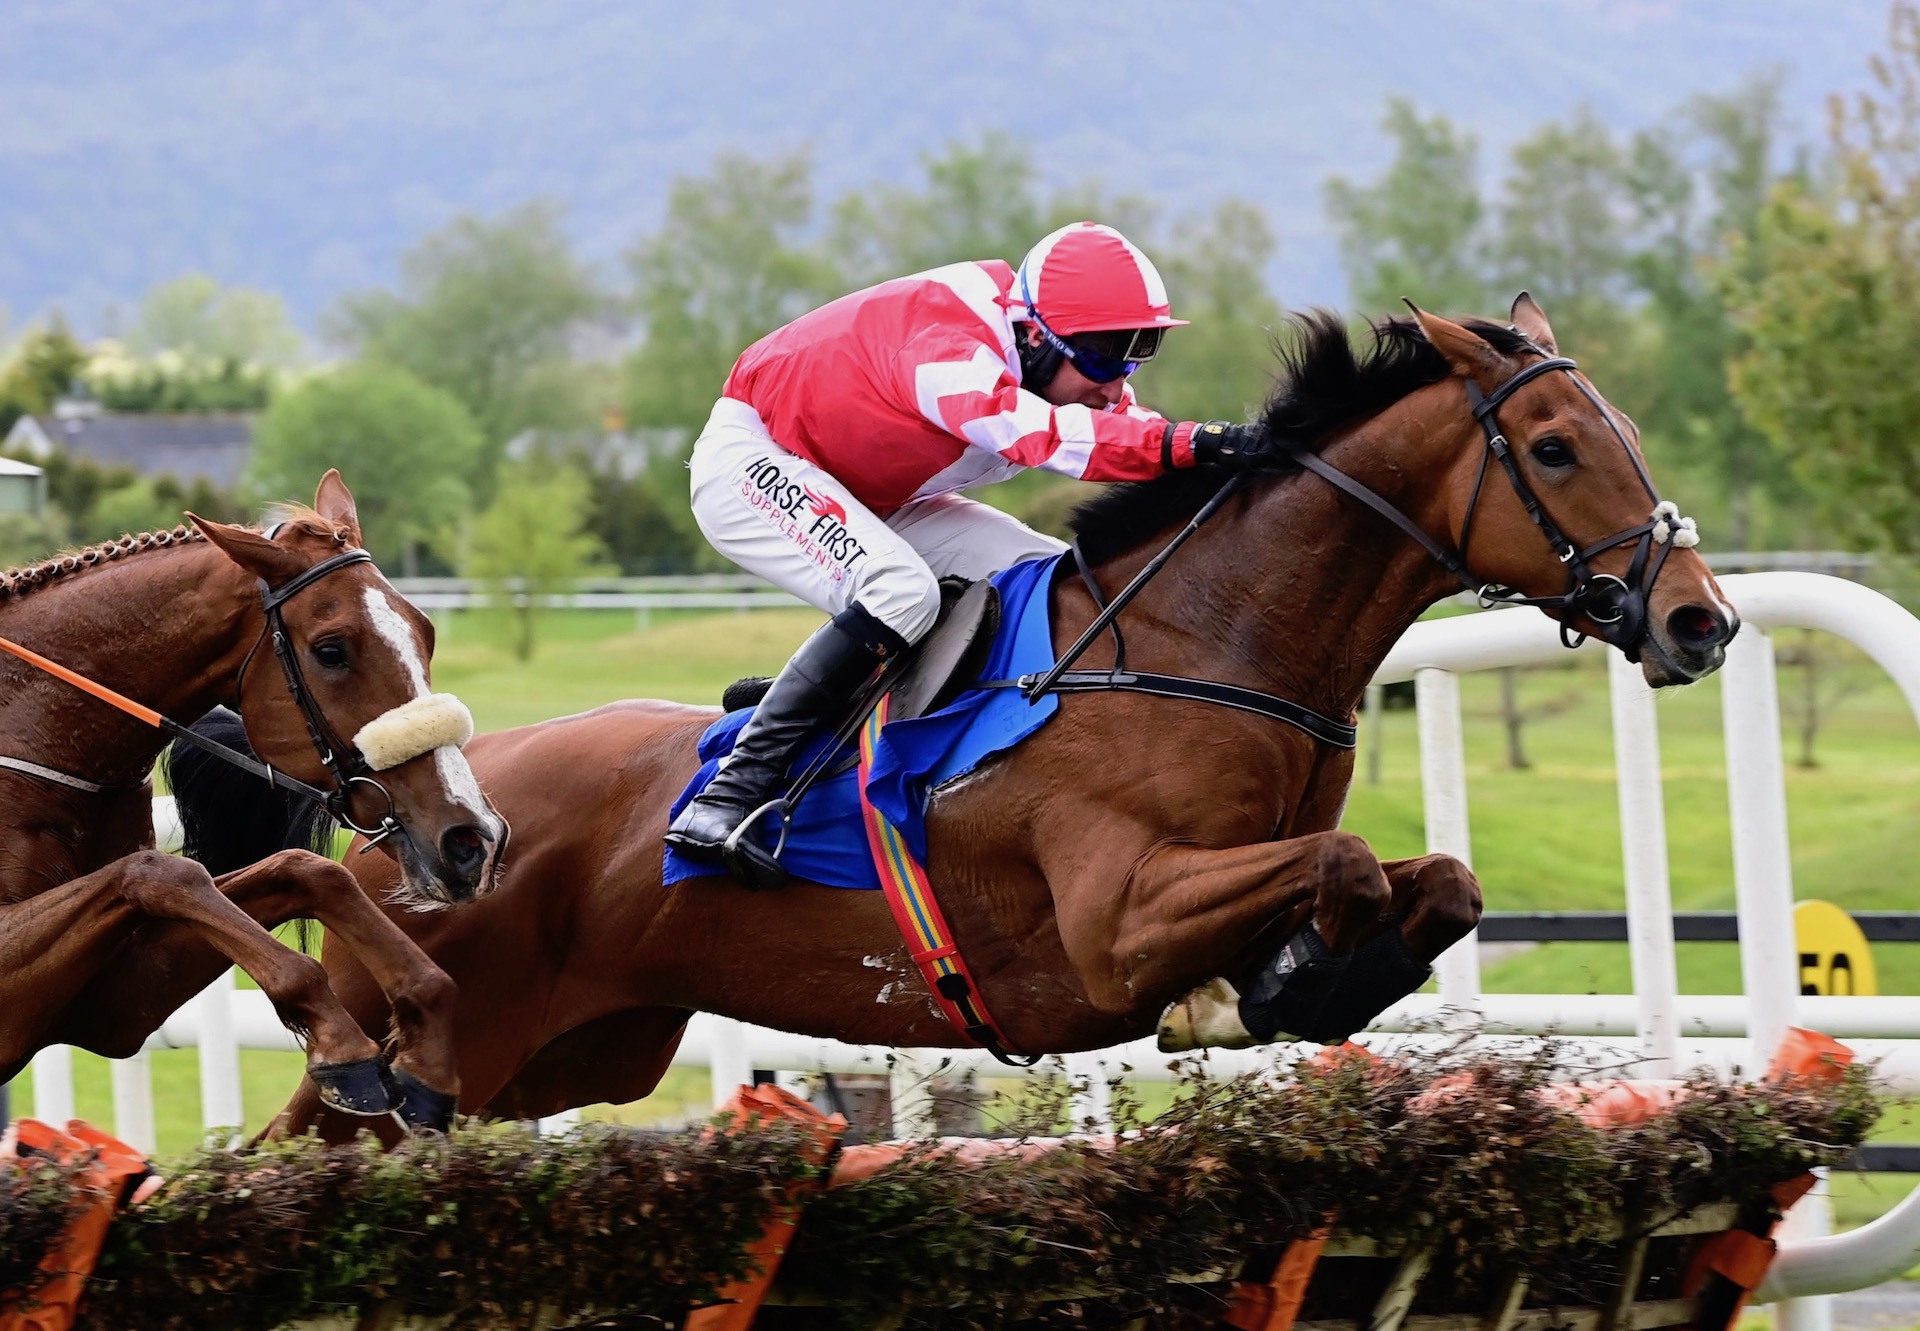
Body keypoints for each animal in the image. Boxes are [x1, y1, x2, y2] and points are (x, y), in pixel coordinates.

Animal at [0, 472, 503, 1129]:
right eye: (332, 650)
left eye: (427, 630)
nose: (470, 839)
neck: (31, 728)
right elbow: (163, 871)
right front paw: (345, 1048)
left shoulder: (109, 1005)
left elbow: (307, 870)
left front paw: (426, 1046)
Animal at [266, 301, 1743, 1129]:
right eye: (1554, 446)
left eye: (1623, 432)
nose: (1699, 619)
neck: (1200, 647)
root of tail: (409, 814)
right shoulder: (1112, 919)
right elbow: (1338, 866)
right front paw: (1256, 988)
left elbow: (1440, 879)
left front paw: (1298, 979)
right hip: (438, 1052)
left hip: (561, 1059)